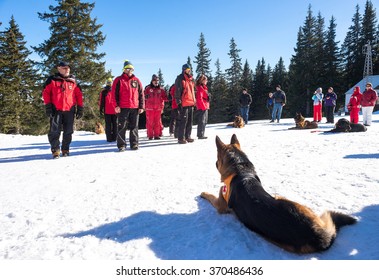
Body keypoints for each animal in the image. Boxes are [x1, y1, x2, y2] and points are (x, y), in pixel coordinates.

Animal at [202, 135, 360, 255]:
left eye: (217, 159)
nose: (214, 163)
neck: (240, 170)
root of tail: (320, 237)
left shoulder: (220, 205)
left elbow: (210, 196)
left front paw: (203, 193)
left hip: (282, 198)